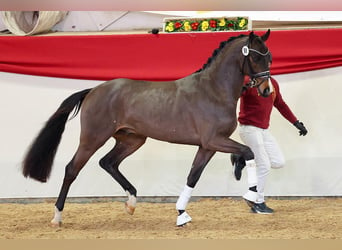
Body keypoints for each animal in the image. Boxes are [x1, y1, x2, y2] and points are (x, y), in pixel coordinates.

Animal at [22, 29, 272, 227]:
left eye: (269, 58)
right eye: (256, 58)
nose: (266, 90)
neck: (214, 90)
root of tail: (93, 90)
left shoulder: (207, 146)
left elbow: (193, 176)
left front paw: (181, 214)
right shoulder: (214, 140)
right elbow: (248, 152)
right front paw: (251, 195)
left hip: (132, 139)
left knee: (108, 162)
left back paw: (131, 203)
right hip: (92, 139)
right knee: (72, 169)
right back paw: (57, 217)